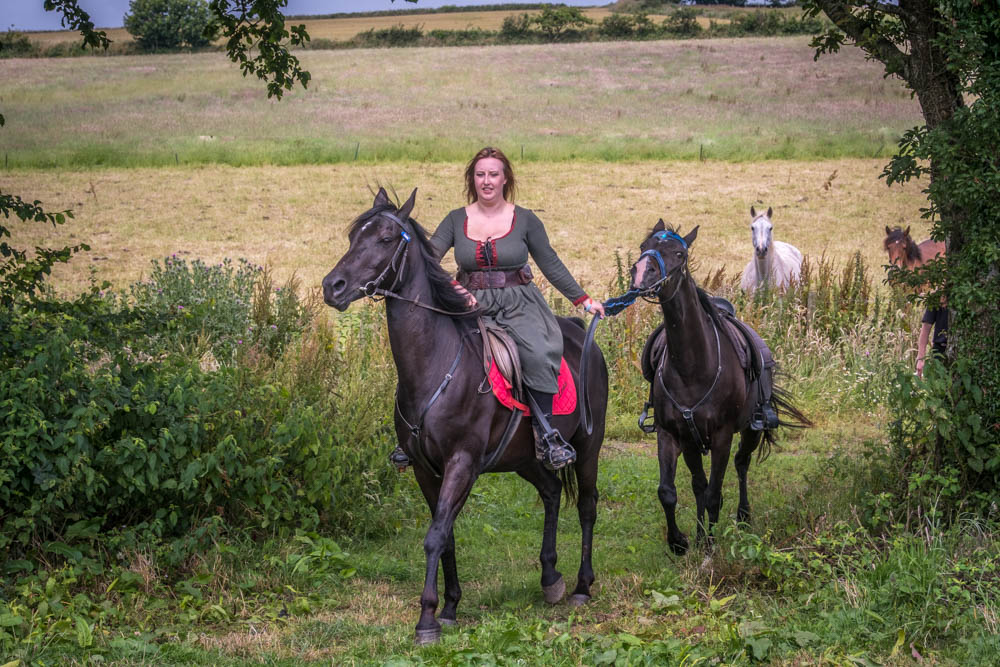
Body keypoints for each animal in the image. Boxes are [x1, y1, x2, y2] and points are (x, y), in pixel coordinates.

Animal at [320, 187, 608, 640]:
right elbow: (447, 536)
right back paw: (550, 578)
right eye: (353, 237)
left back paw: (581, 585)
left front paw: (427, 619)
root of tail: (583, 333)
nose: (333, 287)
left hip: (588, 446)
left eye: (386, 238)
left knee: (587, 506)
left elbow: (436, 535)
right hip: (525, 458)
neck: (433, 366)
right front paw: (450, 607)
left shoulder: (461, 463)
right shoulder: (425, 468)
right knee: (550, 492)